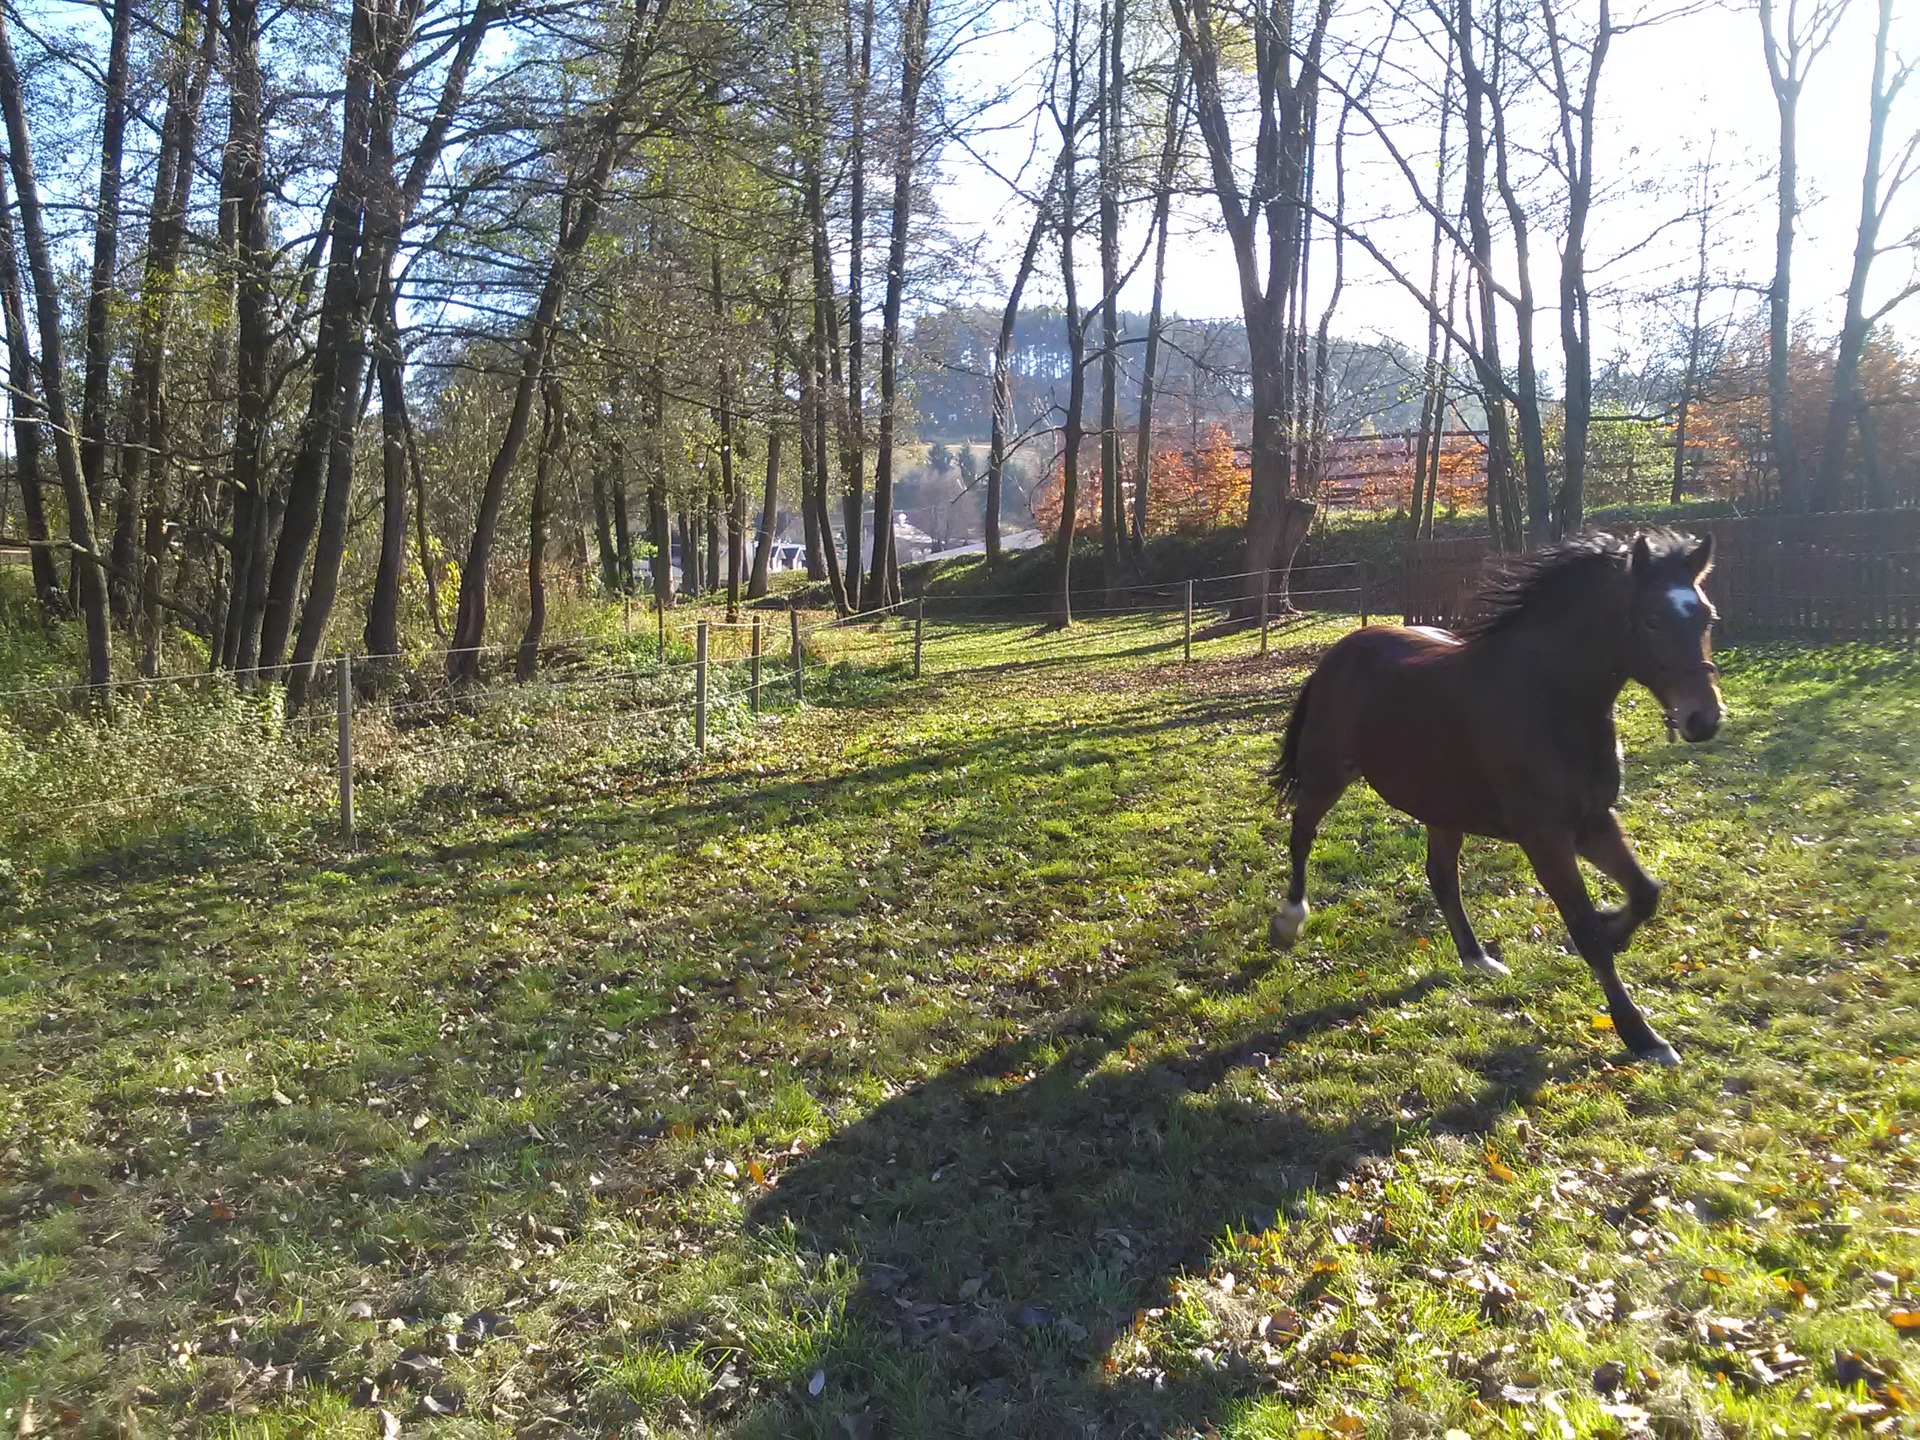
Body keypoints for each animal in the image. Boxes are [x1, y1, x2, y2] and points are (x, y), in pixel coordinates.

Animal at [1274, 533, 1728, 1075]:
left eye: (1706, 617)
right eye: (1653, 620)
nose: (1703, 719)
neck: (1548, 700)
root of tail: (1340, 652)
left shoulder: (1593, 822)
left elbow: (1645, 893)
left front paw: (1615, 928)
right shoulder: (1544, 836)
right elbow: (1587, 933)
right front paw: (1642, 1036)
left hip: (1442, 807)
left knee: (1442, 876)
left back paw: (1476, 958)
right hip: (1327, 776)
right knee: (1302, 833)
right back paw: (1289, 919)